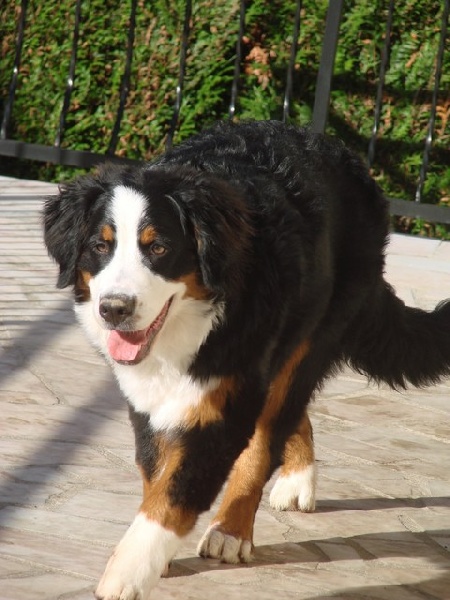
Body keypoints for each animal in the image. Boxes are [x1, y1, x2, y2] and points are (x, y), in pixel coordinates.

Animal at [43, 120, 450, 600]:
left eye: (158, 248)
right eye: (100, 247)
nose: (114, 308)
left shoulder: (223, 402)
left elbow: (178, 491)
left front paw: (128, 570)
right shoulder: (148, 398)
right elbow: (156, 472)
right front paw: (154, 557)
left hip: (312, 336)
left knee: (270, 429)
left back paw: (233, 529)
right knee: (288, 416)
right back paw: (295, 479)